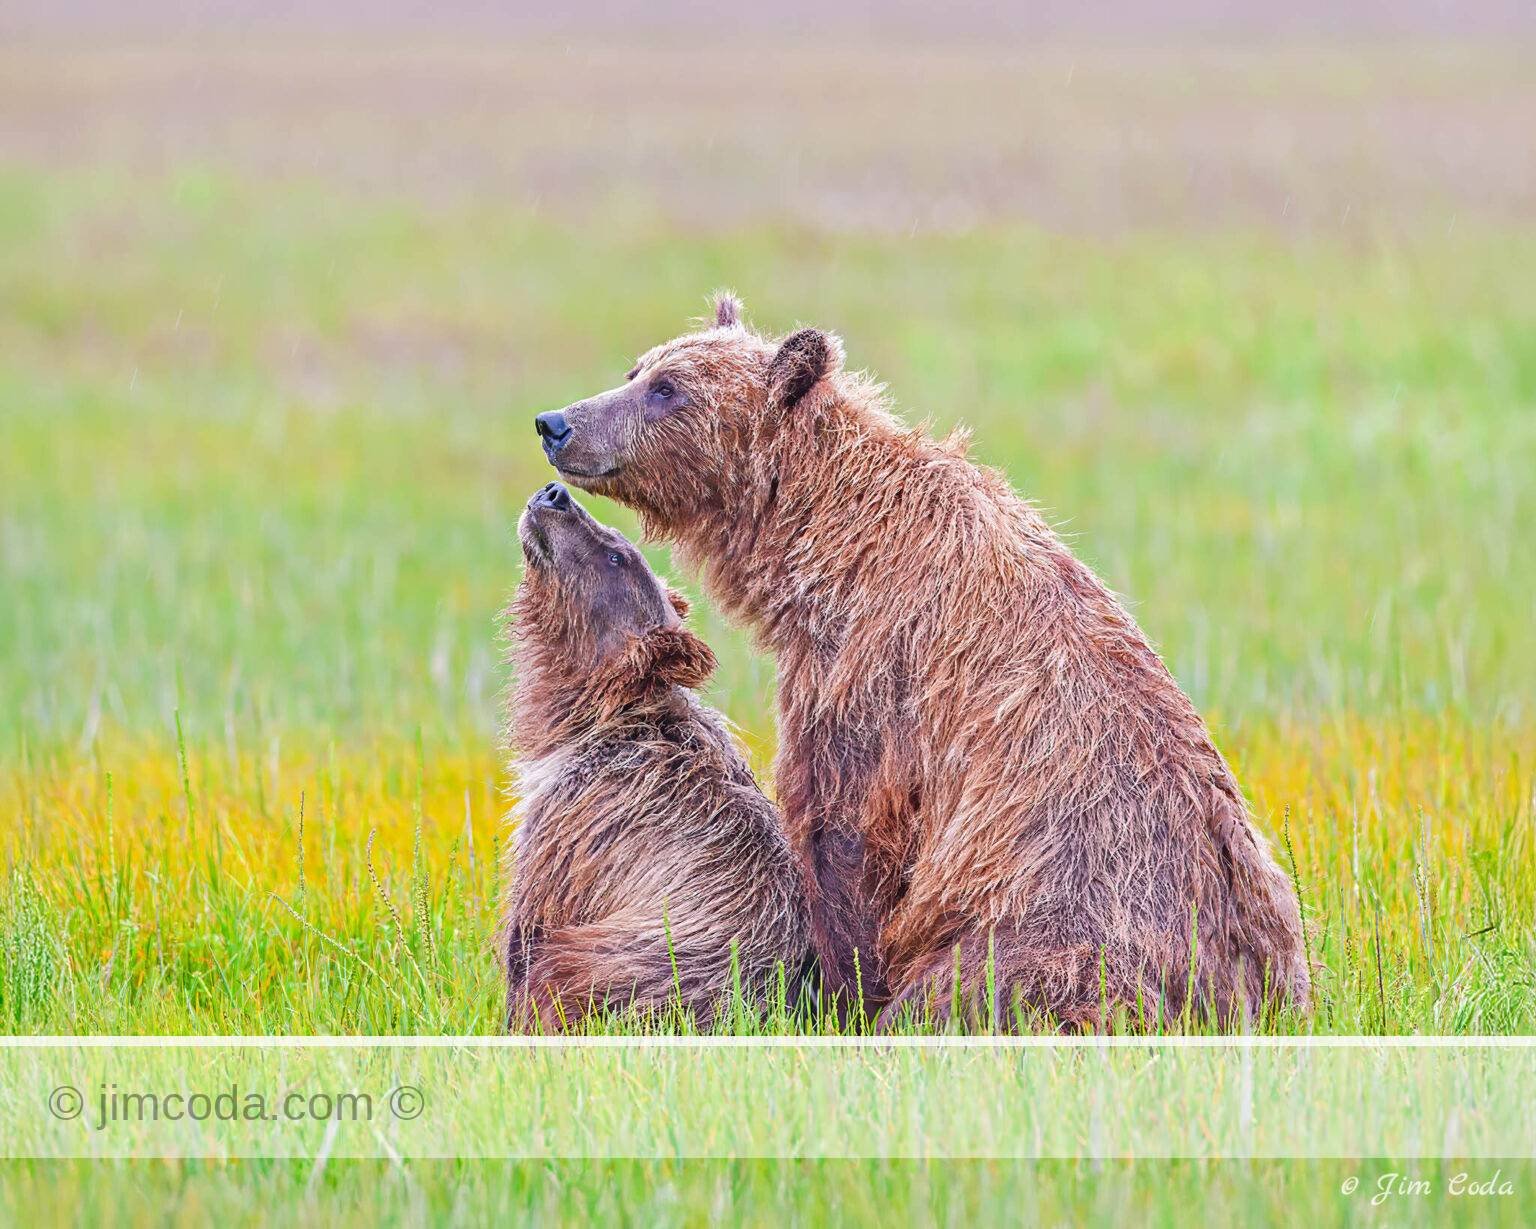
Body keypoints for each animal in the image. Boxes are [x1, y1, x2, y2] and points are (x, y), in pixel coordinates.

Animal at [500, 480, 809, 1031]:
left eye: (617, 555)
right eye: (619, 541)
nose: (555, 494)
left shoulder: (582, 820)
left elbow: (531, 928)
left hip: (629, 964)